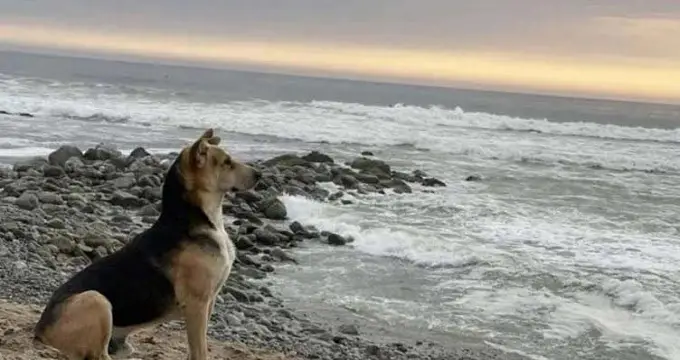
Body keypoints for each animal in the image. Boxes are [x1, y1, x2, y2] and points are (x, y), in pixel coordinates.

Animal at [33, 128, 262, 358]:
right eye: (227, 162)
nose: (259, 175)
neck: (192, 219)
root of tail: (40, 330)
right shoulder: (197, 304)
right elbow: (200, 350)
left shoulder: (208, 302)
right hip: (96, 299)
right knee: (99, 355)